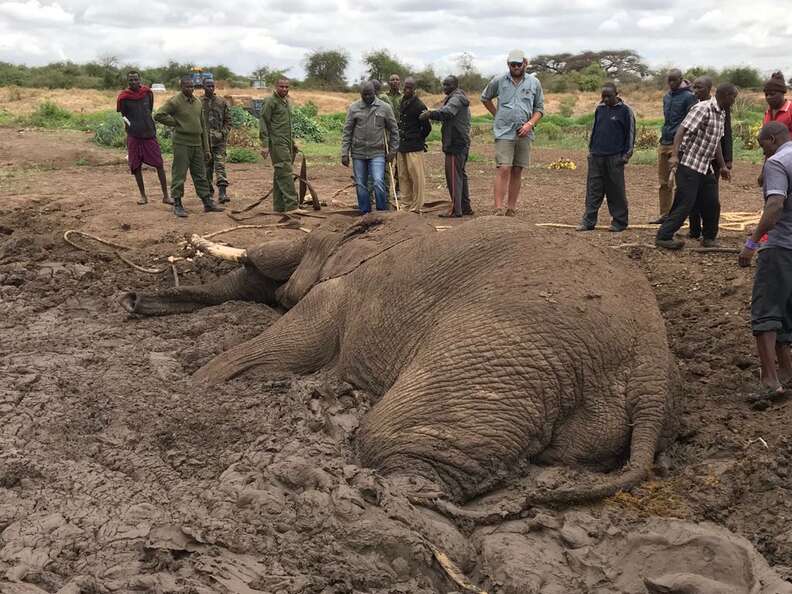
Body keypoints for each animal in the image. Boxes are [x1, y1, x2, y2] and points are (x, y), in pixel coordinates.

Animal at [120, 213, 676, 512]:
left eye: (309, 242)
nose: (130, 299)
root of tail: (652, 370)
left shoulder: (339, 293)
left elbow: (273, 352)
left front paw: (193, 385)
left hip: (502, 352)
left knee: (394, 451)